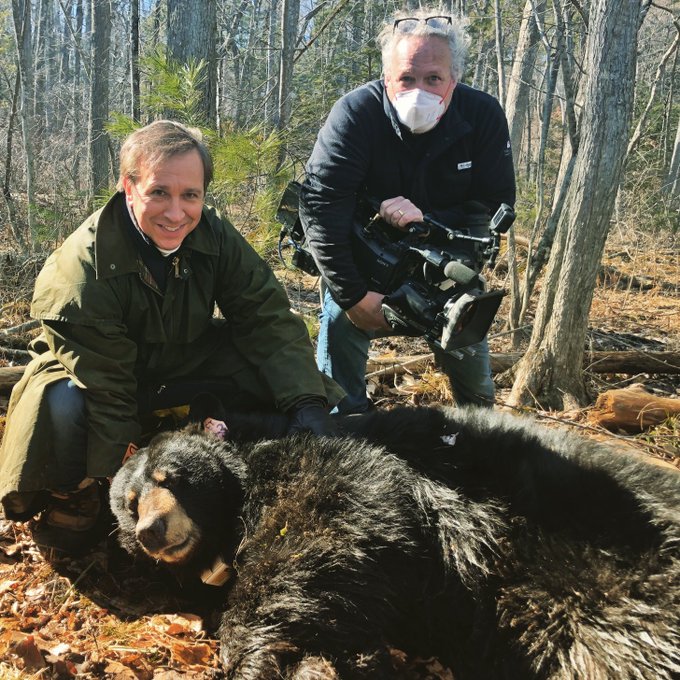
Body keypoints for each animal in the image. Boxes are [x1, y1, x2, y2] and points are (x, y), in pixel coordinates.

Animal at [110, 405, 680, 679]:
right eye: (129, 502)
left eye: (171, 478)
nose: (149, 531)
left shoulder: (345, 466)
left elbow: (323, 522)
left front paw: (275, 658)